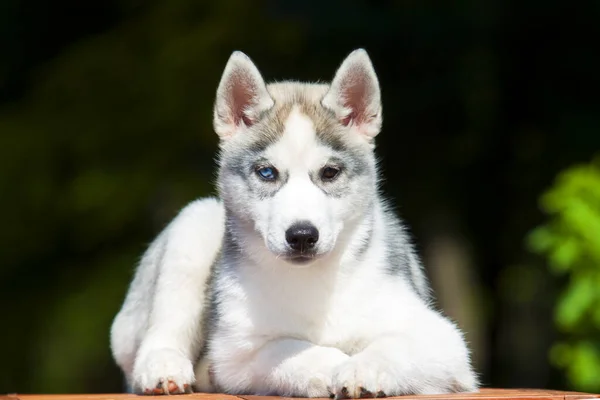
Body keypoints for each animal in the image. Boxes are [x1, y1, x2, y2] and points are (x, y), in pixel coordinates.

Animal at [110, 47, 480, 396]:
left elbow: (393, 346)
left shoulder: (441, 338)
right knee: (161, 332)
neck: (312, 281)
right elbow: (295, 350)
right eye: (266, 173)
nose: (302, 235)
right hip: (194, 225)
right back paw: (163, 369)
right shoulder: (235, 353)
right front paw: (332, 367)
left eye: (329, 173)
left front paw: (362, 369)